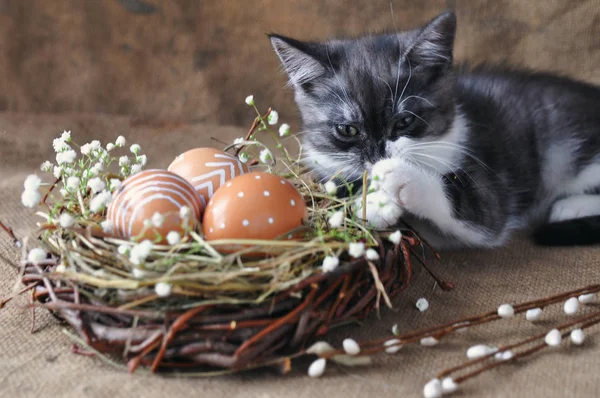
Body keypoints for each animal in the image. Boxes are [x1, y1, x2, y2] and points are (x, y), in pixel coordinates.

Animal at [270, 11, 600, 249]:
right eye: (347, 129)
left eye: (404, 121)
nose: (379, 156)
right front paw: (372, 201)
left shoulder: (491, 190)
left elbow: (471, 208)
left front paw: (396, 179)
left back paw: (569, 206)